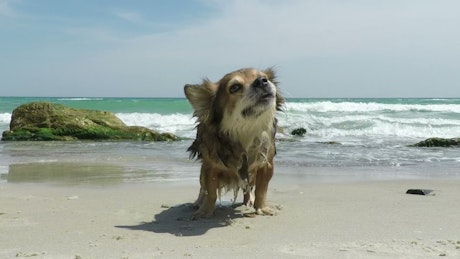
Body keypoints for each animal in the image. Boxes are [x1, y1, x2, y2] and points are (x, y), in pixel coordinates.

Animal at [183, 67, 284, 219]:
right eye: (235, 87)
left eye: (264, 77)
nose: (262, 81)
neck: (246, 134)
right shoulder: (210, 167)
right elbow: (210, 192)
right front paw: (205, 210)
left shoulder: (266, 166)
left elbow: (261, 190)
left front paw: (262, 207)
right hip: (203, 171)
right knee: (202, 188)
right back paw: (198, 202)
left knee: (248, 187)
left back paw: (249, 200)